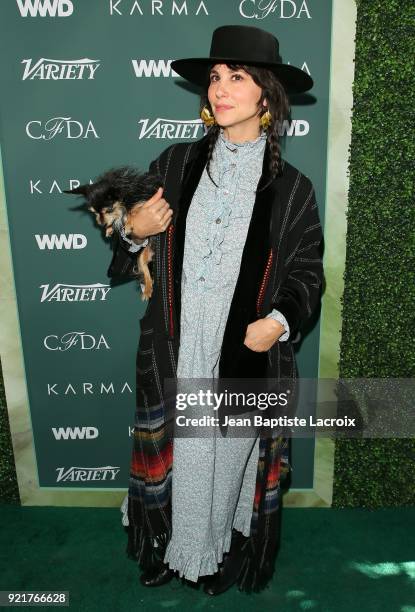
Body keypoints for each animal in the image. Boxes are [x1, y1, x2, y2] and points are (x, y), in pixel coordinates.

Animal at [64, 165, 163, 298]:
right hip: (141, 257)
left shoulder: (144, 198)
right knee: (144, 268)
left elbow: (132, 209)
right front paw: (110, 228)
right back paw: (147, 289)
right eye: (94, 212)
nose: (101, 224)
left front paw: (128, 223)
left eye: (109, 210)